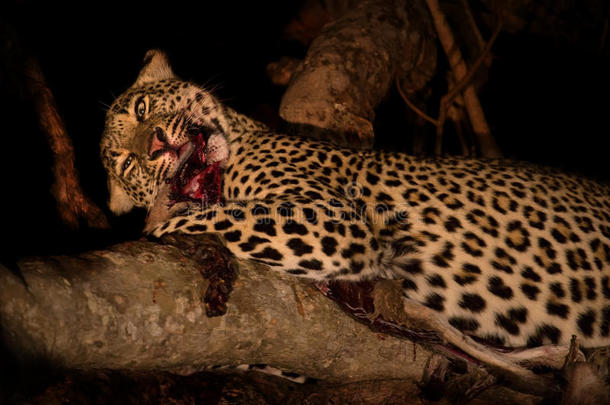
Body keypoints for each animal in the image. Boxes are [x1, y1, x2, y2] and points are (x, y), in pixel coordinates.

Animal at [101, 49, 608, 348]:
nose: (154, 147)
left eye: (142, 109)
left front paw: (156, 231)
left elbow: (196, 220)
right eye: (126, 163)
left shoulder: (330, 218)